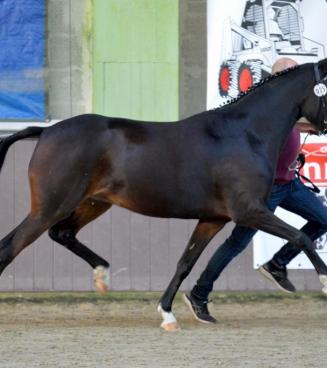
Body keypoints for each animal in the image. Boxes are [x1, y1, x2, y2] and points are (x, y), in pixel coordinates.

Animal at [0, 59, 327, 330]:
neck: (245, 135)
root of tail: (45, 131)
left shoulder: (213, 219)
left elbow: (185, 262)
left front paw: (168, 314)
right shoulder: (249, 211)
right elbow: (301, 236)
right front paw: (324, 282)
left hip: (92, 203)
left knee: (60, 234)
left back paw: (102, 276)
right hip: (51, 206)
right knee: (12, 246)